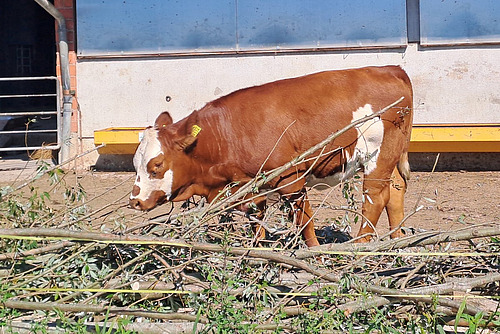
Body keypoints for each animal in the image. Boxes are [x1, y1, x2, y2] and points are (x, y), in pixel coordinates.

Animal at [130, 66, 414, 248]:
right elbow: (257, 220)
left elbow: (304, 221)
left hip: (378, 157)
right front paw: (257, 248)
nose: (135, 201)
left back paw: (361, 245)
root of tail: (390, 69)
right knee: (396, 190)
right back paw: (397, 241)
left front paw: (315, 253)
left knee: (375, 199)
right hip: (391, 157)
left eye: (156, 165)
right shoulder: (250, 187)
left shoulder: (291, 180)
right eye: (136, 164)